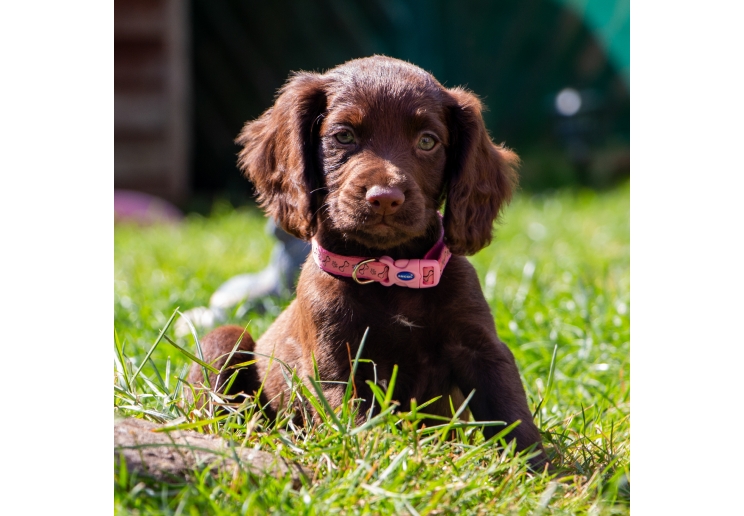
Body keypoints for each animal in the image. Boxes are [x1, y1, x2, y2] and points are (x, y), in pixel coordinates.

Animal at [186, 55, 548, 468]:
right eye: (343, 137)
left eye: (427, 141)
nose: (385, 197)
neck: (392, 273)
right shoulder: (334, 366)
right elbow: (360, 424)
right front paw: (386, 463)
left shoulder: (482, 348)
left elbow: (511, 413)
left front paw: (548, 473)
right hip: (224, 342)